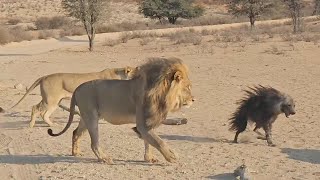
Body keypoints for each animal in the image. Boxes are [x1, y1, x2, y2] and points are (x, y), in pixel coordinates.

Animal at [47, 57, 192, 164]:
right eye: (187, 87)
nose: (193, 99)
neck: (160, 92)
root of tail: (77, 89)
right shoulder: (142, 124)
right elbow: (158, 141)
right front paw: (171, 156)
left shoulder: (147, 123)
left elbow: (148, 141)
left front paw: (149, 158)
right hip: (91, 117)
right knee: (94, 143)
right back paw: (104, 158)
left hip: (85, 117)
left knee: (75, 133)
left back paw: (76, 152)